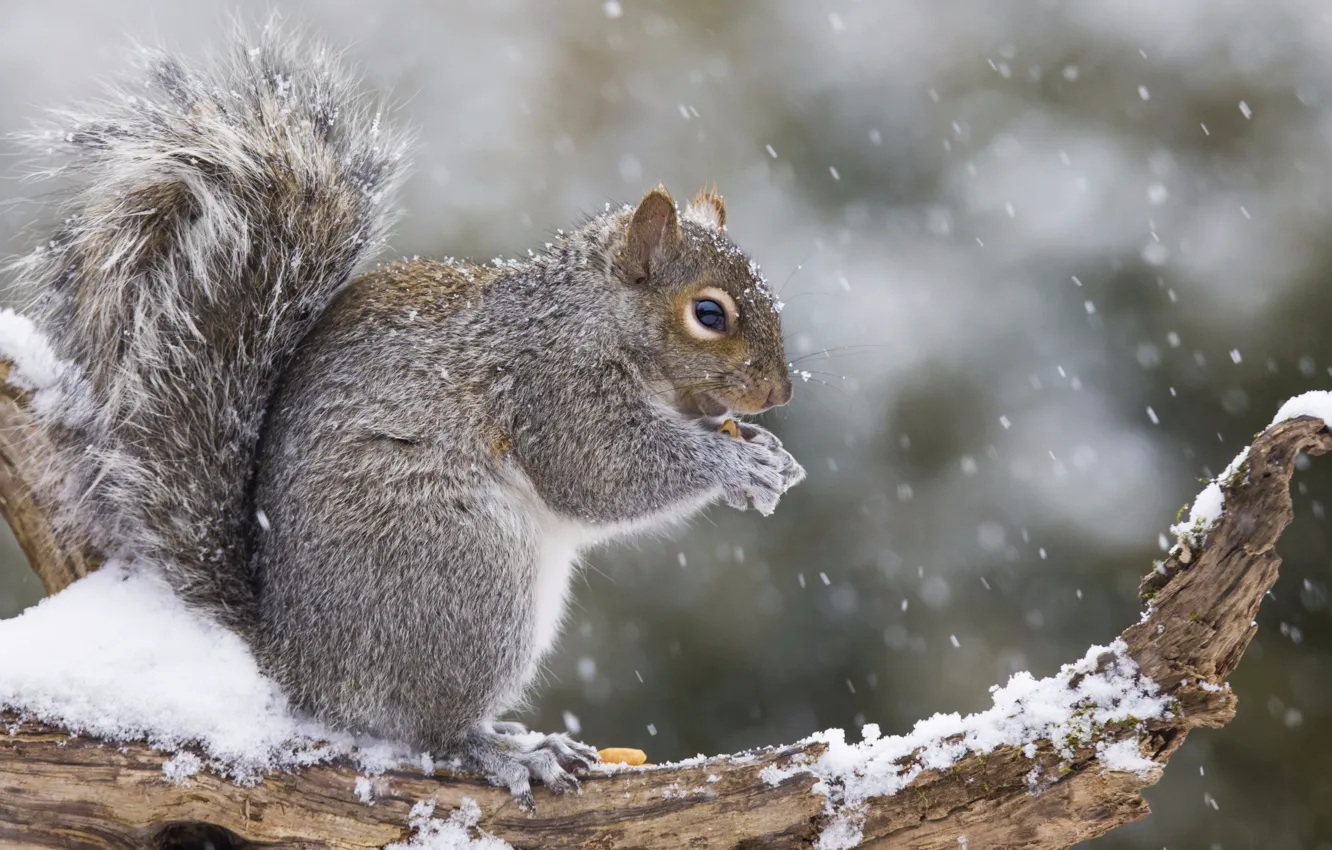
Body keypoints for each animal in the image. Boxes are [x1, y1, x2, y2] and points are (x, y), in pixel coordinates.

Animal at [5, 25, 804, 808]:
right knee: (430, 728)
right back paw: (507, 751)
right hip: (464, 573)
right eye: (709, 314)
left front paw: (770, 453)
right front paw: (737, 463)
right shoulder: (553, 388)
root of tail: (296, 663)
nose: (779, 396)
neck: (592, 316)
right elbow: (604, 475)